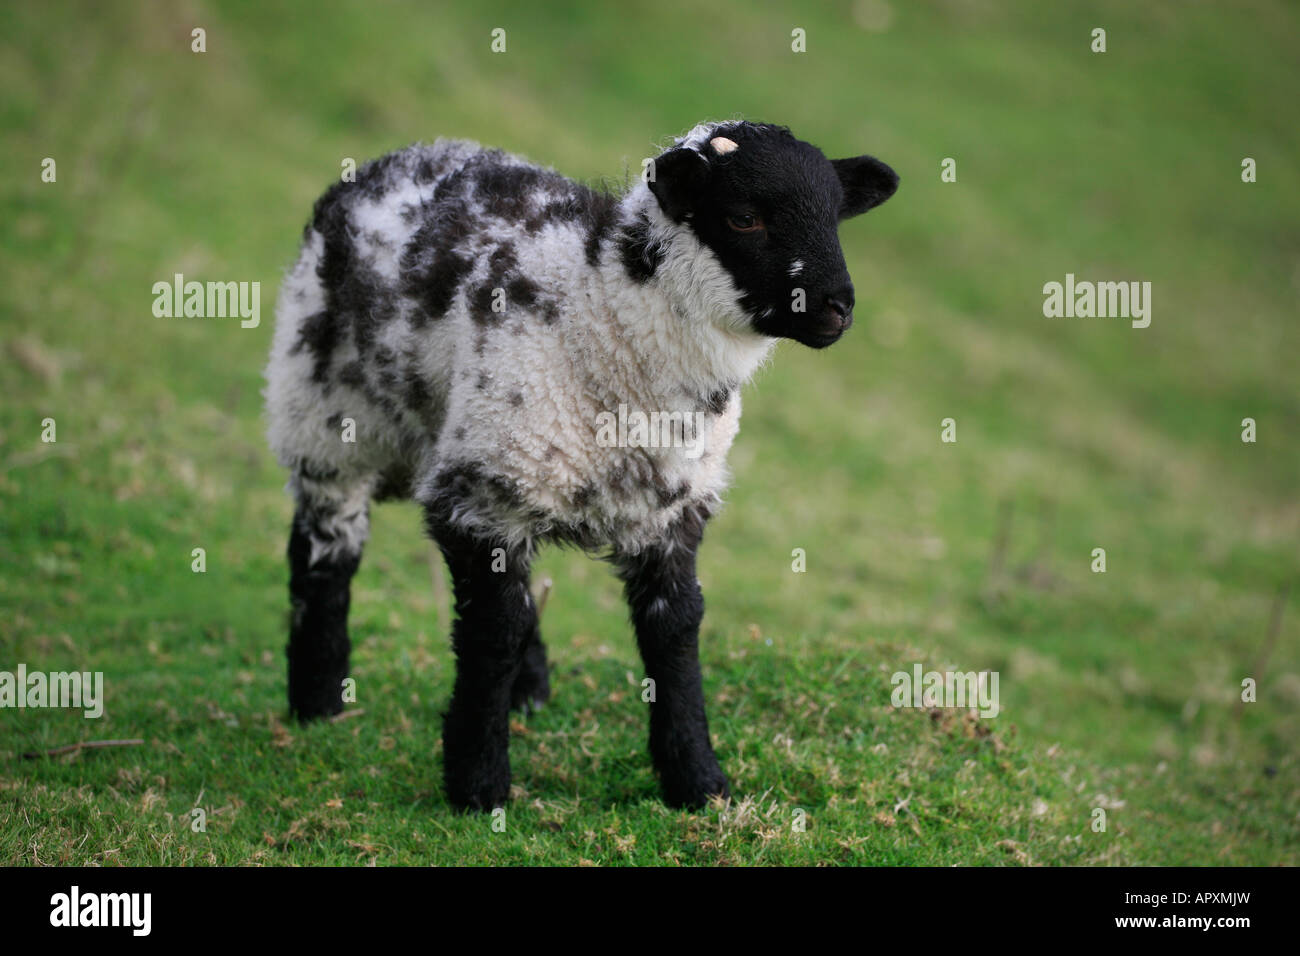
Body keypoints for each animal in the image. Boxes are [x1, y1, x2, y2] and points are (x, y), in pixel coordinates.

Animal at [263, 117, 894, 806]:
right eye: (745, 217)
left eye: (835, 217)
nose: (839, 307)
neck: (598, 316)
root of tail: (401, 155)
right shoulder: (481, 495)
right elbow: (493, 632)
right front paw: (479, 784)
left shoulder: (669, 510)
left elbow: (675, 629)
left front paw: (697, 781)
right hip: (327, 417)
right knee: (326, 550)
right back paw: (319, 702)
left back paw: (527, 693)